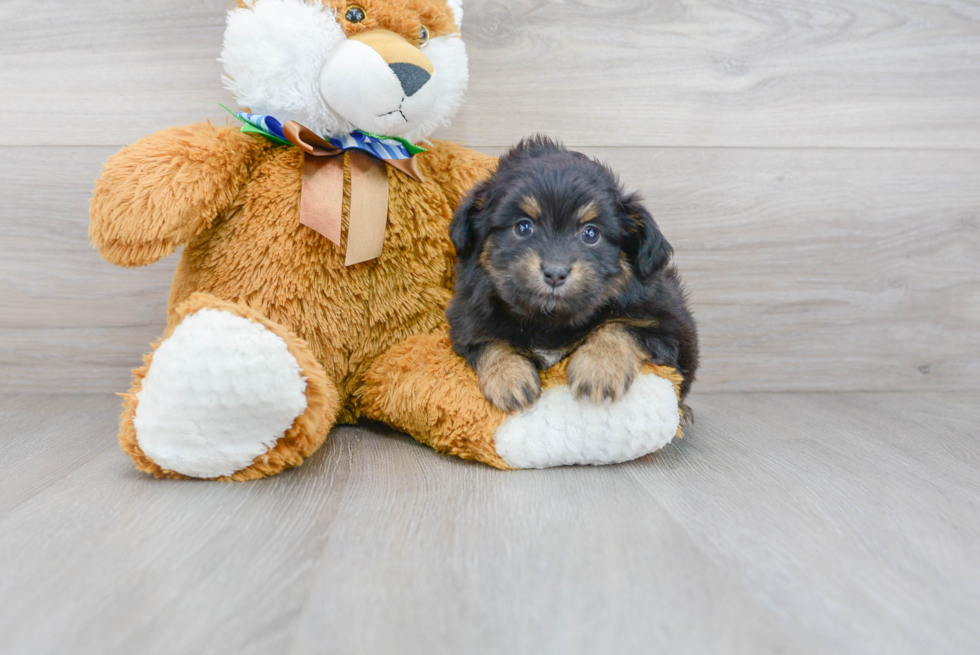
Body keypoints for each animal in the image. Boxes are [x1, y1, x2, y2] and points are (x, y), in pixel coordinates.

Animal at [448, 137, 700, 416]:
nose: (555, 273)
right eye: (523, 227)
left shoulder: (669, 328)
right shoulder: (466, 323)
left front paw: (598, 368)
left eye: (591, 234)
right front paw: (509, 377)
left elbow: (619, 327)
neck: (549, 320)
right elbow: (490, 343)